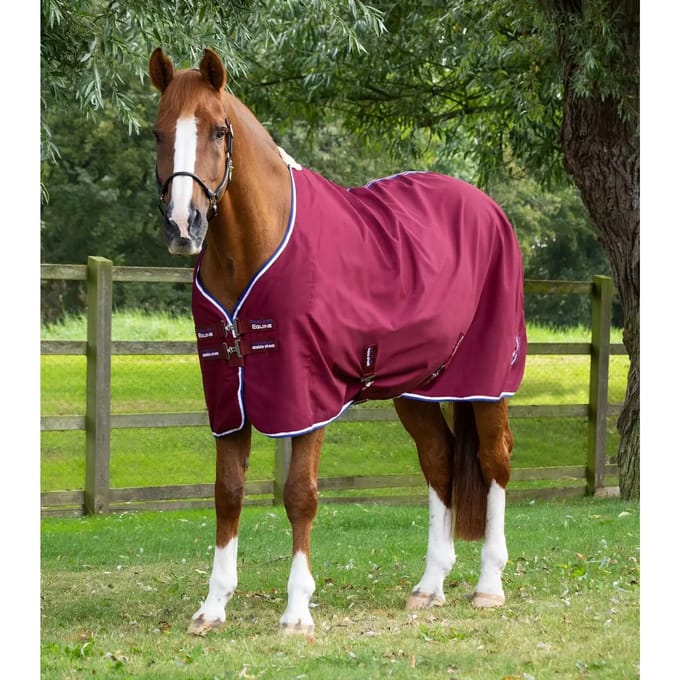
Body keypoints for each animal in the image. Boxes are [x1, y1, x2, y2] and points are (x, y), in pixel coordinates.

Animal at [148, 47, 526, 636]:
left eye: (217, 131)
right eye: (159, 132)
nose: (182, 227)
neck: (254, 248)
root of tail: (488, 209)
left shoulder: (305, 397)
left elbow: (299, 495)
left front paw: (297, 611)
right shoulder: (228, 398)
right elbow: (227, 493)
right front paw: (213, 607)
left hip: (487, 384)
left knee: (494, 461)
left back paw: (488, 586)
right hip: (413, 389)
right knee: (439, 461)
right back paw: (430, 586)